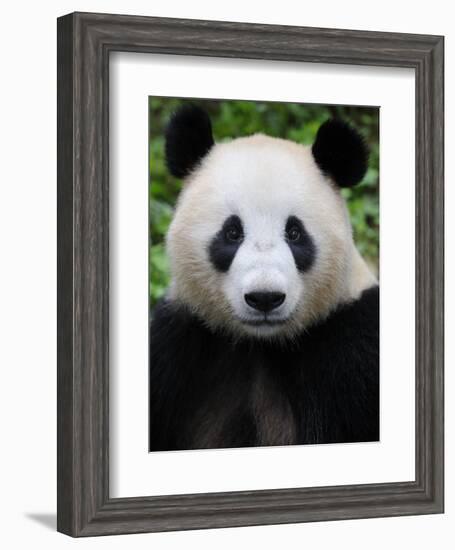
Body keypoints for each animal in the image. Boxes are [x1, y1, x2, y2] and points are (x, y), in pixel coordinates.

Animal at [148, 103, 380, 452]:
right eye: (232, 232)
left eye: (295, 232)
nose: (265, 298)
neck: (261, 344)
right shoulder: (176, 345)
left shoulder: (355, 350)